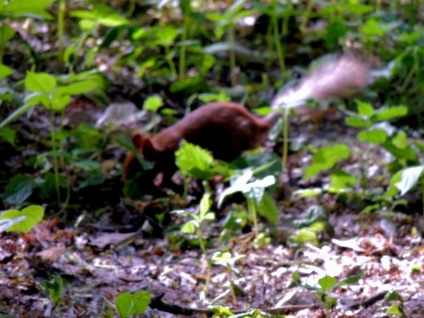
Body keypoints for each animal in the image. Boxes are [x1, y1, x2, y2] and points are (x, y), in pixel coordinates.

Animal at [124, 54, 370, 186]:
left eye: (137, 165)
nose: (125, 179)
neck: (160, 144)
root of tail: (256, 124)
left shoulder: (171, 158)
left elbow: (167, 174)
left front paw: (161, 185)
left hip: (232, 146)